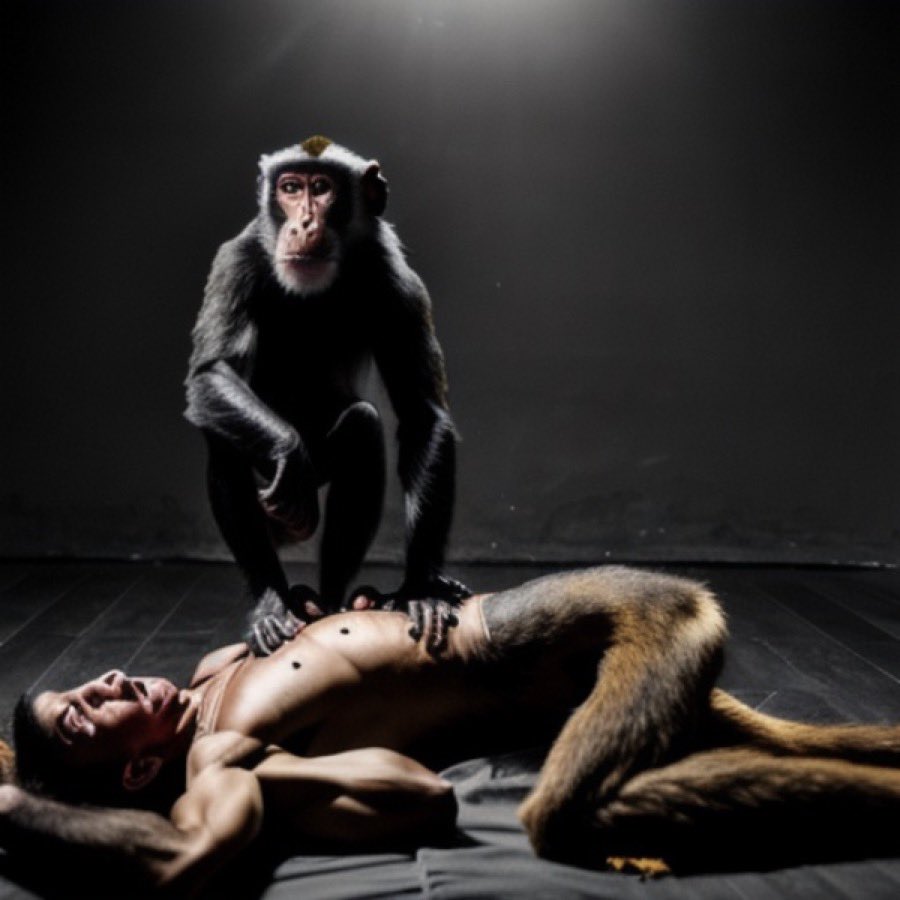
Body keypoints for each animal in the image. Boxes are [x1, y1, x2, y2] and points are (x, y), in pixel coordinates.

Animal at [184, 136, 469, 656]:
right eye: (290, 188)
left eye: (321, 188)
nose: (303, 221)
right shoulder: (235, 261)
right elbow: (213, 372)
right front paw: (286, 448)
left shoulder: (397, 283)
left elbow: (421, 413)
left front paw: (420, 588)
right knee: (225, 445)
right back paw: (274, 606)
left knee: (363, 429)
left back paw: (336, 606)